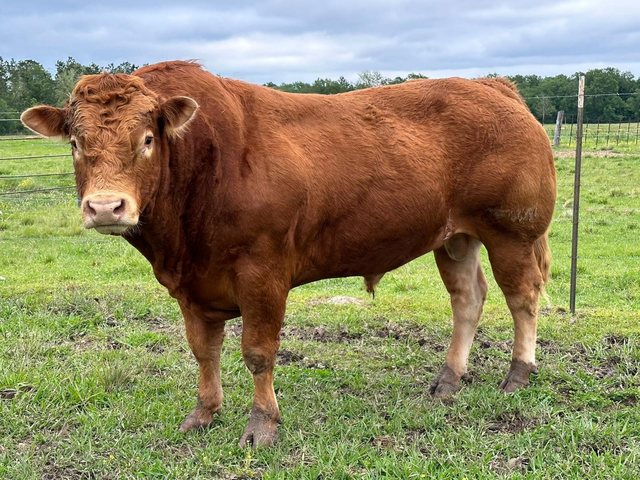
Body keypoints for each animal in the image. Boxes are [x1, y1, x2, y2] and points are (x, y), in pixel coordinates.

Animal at [21, 61, 556, 448]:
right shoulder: (191, 284)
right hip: (455, 237)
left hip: (512, 231)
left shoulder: (263, 273)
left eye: (147, 139)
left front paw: (261, 425)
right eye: (75, 142)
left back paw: (518, 374)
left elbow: (258, 353)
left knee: (522, 297)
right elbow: (203, 350)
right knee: (468, 298)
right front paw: (203, 413)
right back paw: (448, 379)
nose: (105, 207)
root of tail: (492, 86)